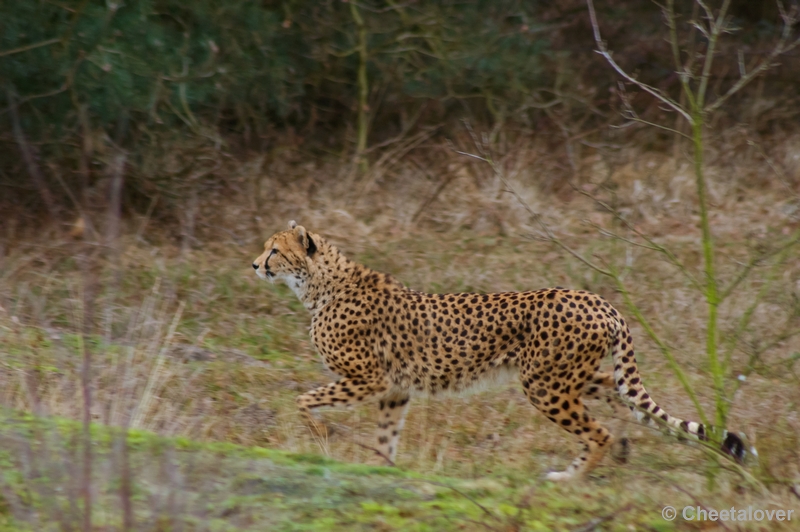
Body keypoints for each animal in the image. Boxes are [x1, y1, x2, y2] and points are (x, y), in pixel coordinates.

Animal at [253, 222, 748, 480]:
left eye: (274, 250)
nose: (255, 264)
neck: (319, 286)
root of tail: (597, 299)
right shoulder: (394, 389)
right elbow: (384, 437)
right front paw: (382, 470)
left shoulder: (369, 379)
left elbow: (303, 399)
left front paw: (320, 433)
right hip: (569, 377)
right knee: (619, 391)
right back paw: (622, 447)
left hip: (544, 385)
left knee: (598, 431)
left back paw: (571, 478)